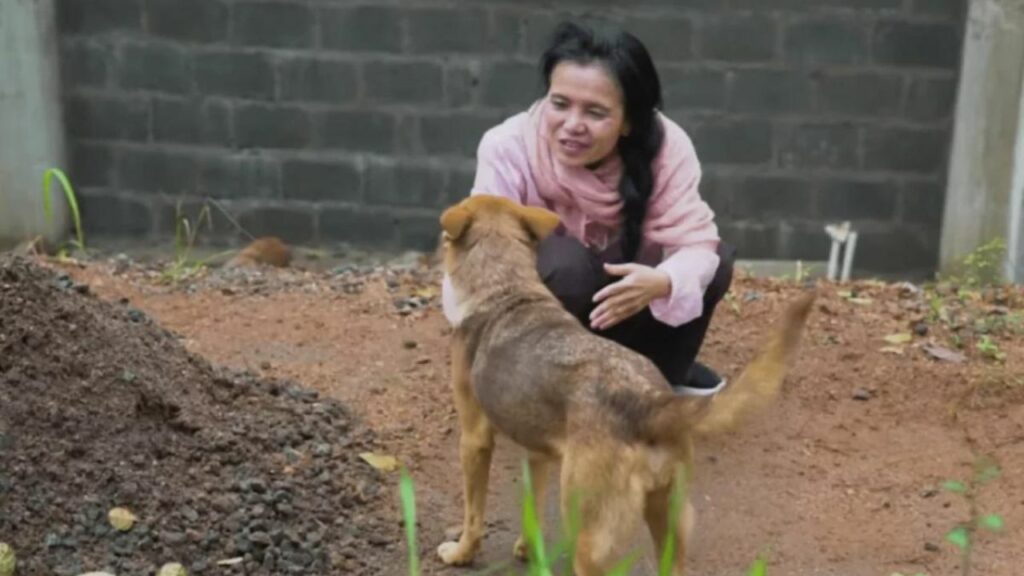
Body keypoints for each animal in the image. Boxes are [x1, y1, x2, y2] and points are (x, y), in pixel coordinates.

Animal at [436, 194, 811, 569]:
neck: (505, 289)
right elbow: (532, 508)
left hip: (588, 533)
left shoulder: (475, 440)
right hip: (668, 519)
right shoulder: (537, 453)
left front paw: (461, 553)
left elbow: (474, 514)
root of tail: (649, 402)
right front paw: (528, 550)